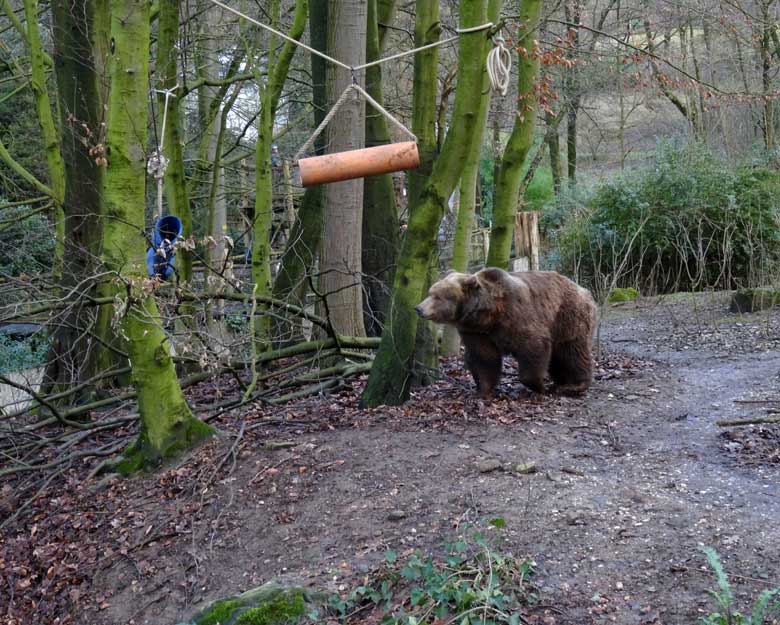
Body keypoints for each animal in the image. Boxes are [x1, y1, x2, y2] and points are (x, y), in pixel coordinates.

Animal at [418, 266, 596, 394]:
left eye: (438, 296)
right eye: (430, 292)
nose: (419, 308)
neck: (489, 316)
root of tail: (583, 289)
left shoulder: (517, 317)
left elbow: (534, 346)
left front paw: (538, 386)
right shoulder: (476, 333)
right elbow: (484, 358)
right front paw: (483, 390)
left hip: (567, 316)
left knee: (572, 351)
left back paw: (575, 385)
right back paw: (562, 382)